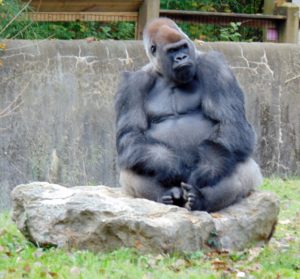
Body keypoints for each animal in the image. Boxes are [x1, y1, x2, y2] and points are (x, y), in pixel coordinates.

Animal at [113, 17, 262, 212]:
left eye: (183, 47)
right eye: (172, 51)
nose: (182, 57)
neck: (164, 74)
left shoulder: (215, 67)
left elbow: (230, 122)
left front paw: (205, 171)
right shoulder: (132, 84)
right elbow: (130, 134)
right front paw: (171, 167)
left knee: (238, 162)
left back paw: (200, 200)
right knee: (132, 165)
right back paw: (166, 195)